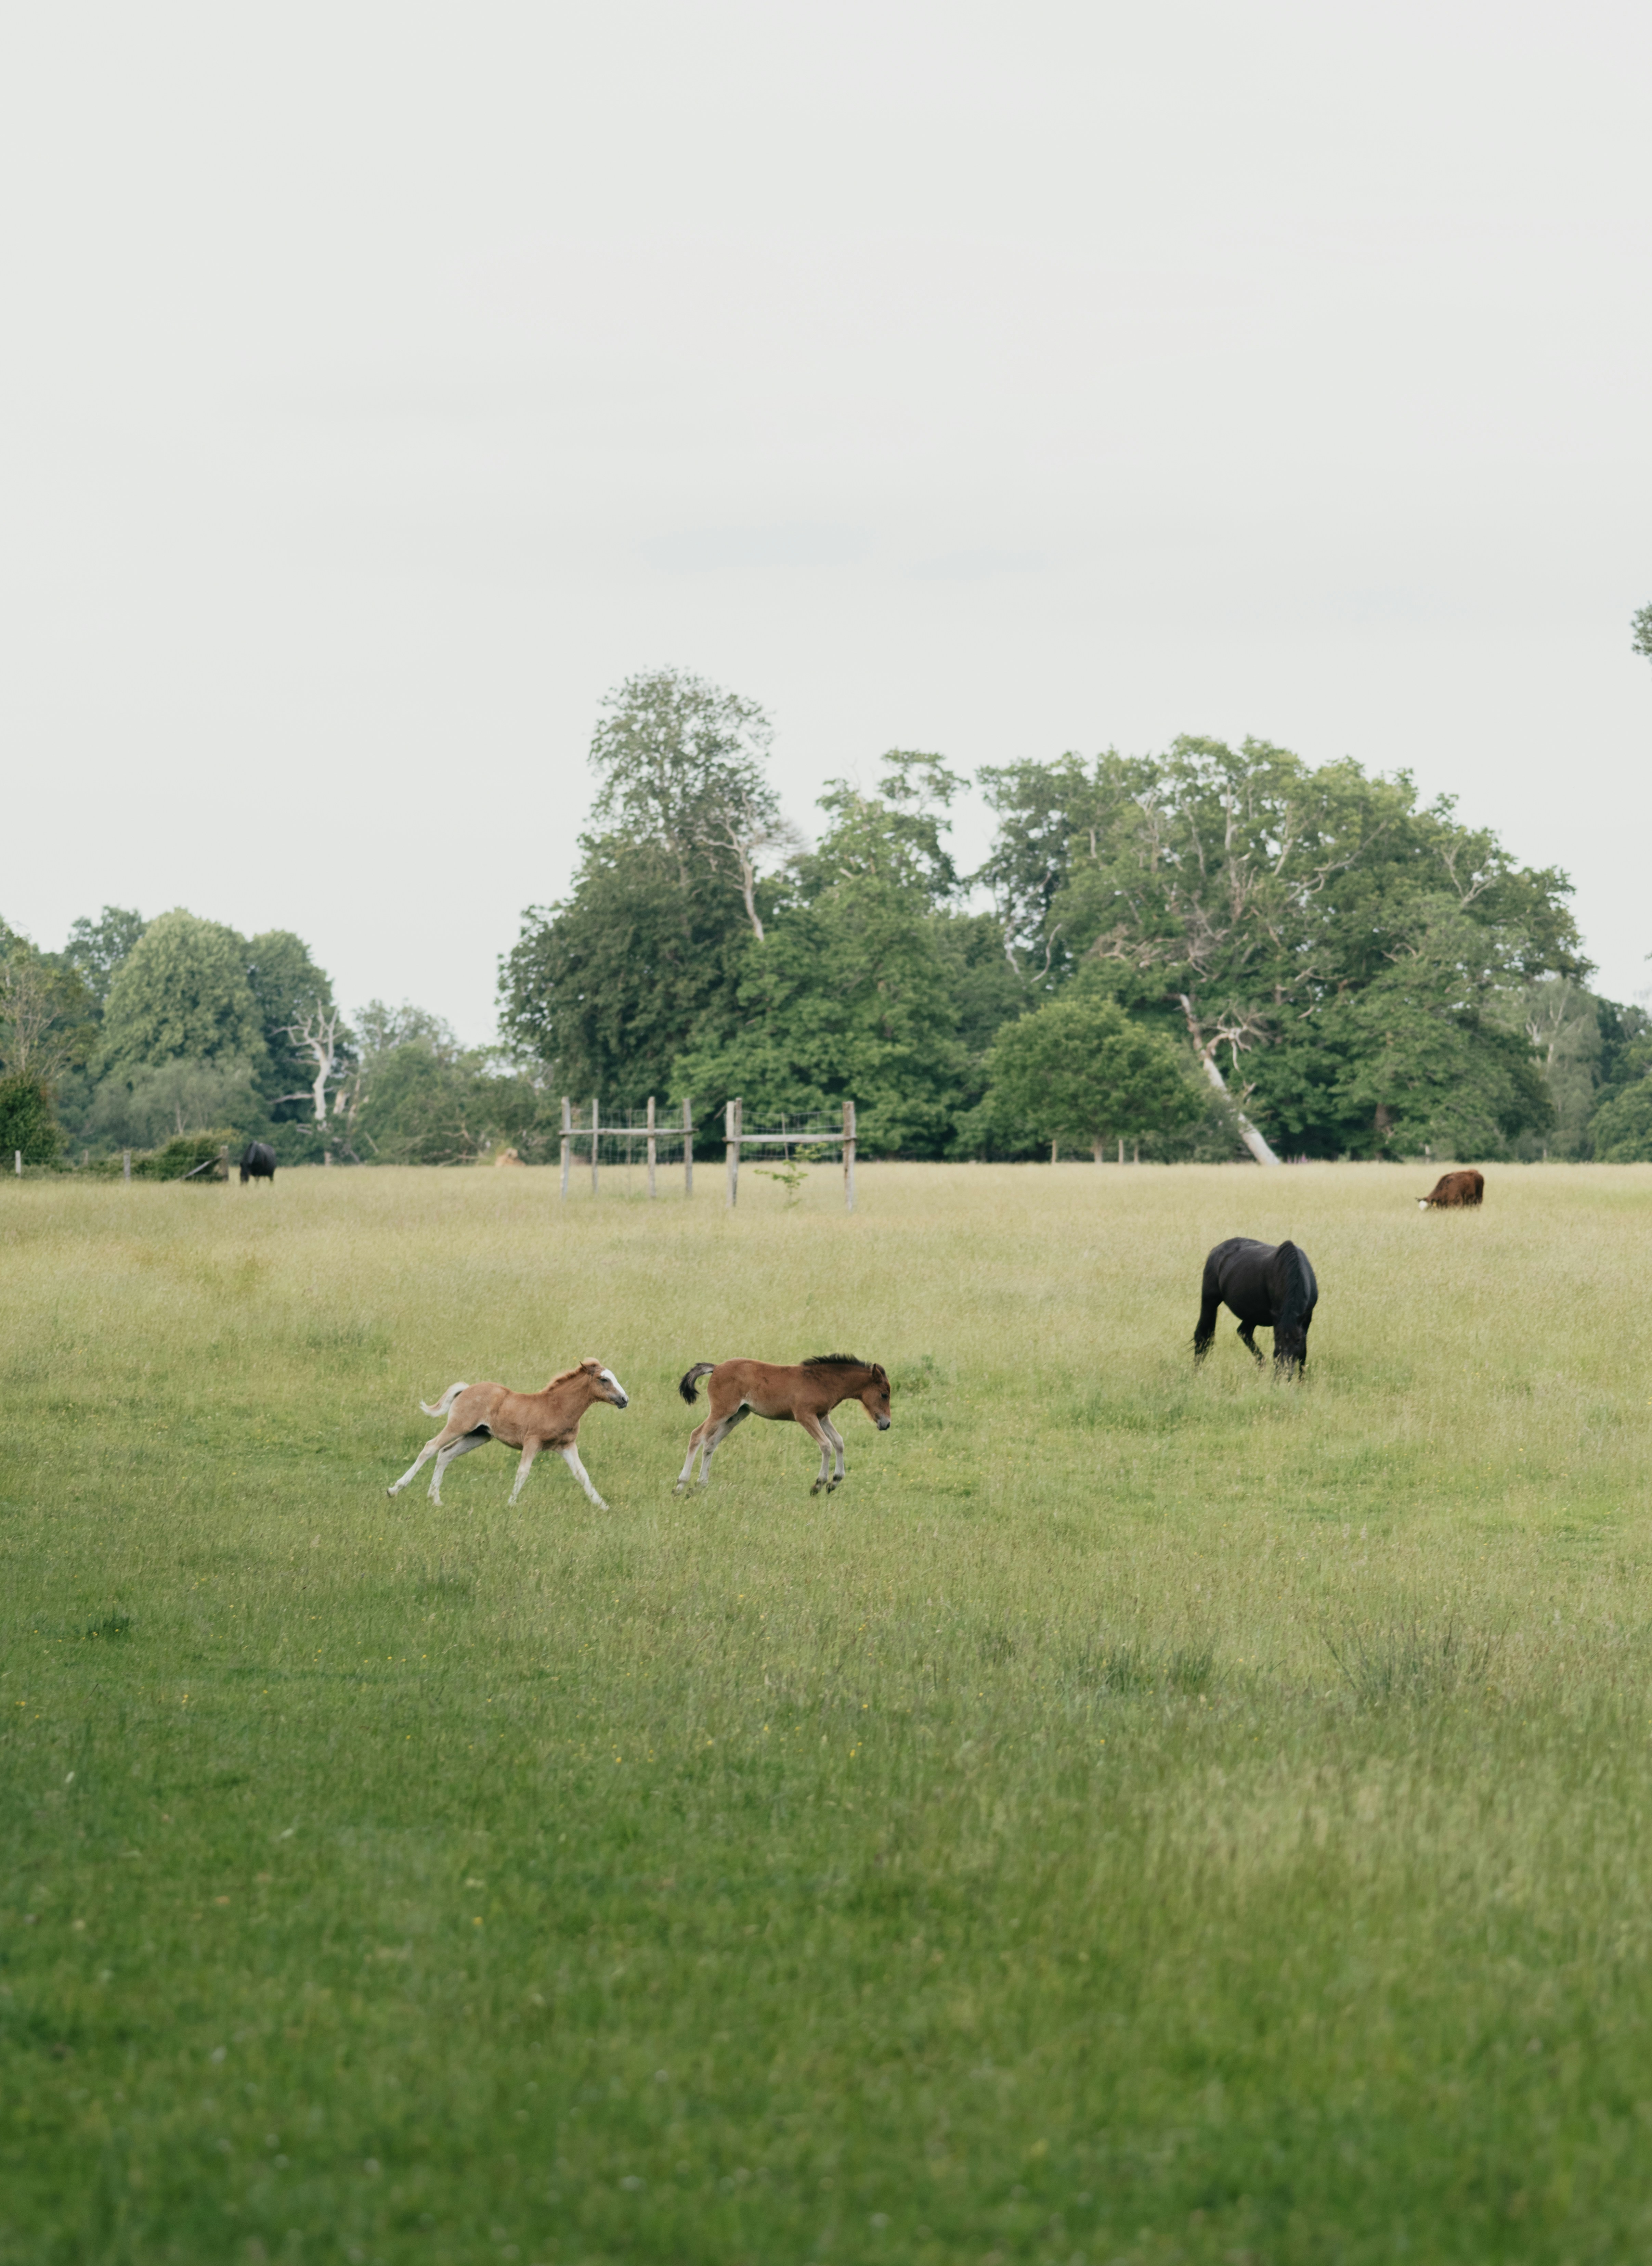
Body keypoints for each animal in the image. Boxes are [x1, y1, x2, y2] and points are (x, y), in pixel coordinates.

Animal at [240, 1140, 277, 1186]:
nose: (243, 1184)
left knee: (272, 1180)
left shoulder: (258, 1172)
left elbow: (257, 1181)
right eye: (240, 1174)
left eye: (247, 1174)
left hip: (272, 1173)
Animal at [387, 1359, 629, 1509]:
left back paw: (436, 1499)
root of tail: (466, 1389)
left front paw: (603, 1506)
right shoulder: (532, 1442)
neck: (557, 1407)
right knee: (431, 1447)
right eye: (604, 1380)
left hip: (478, 1436)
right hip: (459, 1426)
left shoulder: (567, 1446)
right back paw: (395, 1489)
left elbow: (582, 1475)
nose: (625, 1400)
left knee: (446, 1454)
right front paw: (511, 1504)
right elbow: (523, 1472)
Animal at [674, 1354, 892, 1494]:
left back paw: (701, 1484)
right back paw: (680, 1485)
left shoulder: (822, 1417)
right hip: (722, 1410)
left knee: (711, 1442)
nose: (887, 1424)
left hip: (737, 1415)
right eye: (884, 1395)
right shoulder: (805, 1416)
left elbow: (838, 1442)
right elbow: (826, 1445)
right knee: (697, 1436)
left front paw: (835, 1482)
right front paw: (819, 1484)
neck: (822, 1381)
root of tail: (717, 1367)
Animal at [1193, 1238, 1318, 1376]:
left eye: (1298, 1340)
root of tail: (1216, 1251)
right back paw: (1196, 1372)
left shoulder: (1306, 1318)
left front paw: (1302, 1380)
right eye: (1276, 1338)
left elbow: (1303, 1353)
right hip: (1210, 1301)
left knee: (1243, 1332)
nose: (1284, 1373)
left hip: (1252, 1314)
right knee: (1202, 1336)